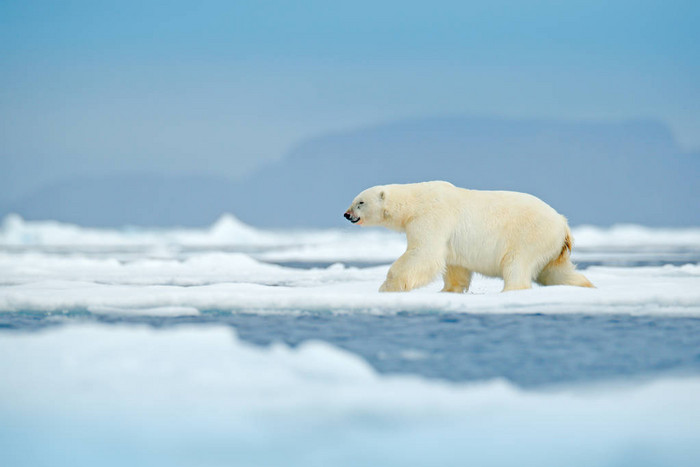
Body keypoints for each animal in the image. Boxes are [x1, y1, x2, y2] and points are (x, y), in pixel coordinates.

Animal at [342, 180, 592, 292]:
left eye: (360, 202)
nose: (346, 214)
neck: (415, 201)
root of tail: (563, 224)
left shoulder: (432, 217)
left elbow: (423, 254)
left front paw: (387, 287)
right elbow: (455, 266)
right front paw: (448, 290)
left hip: (531, 235)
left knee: (517, 263)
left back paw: (510, 290)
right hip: (552, 247)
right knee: (555, 272)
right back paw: (584, 285)